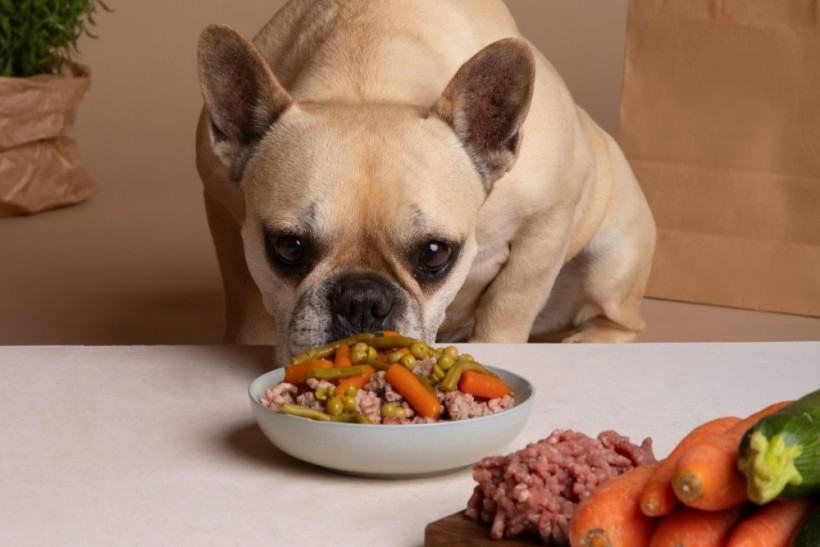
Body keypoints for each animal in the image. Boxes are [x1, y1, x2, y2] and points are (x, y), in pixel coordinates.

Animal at [195, 1, 656, 368]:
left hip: (611, 260)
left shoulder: (548, 220)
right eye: (289, 248)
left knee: (623, 321)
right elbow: (248, 307)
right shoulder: (223, 217)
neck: (367, 79)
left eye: (435, 254)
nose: (363, 300)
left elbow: (507, 308)